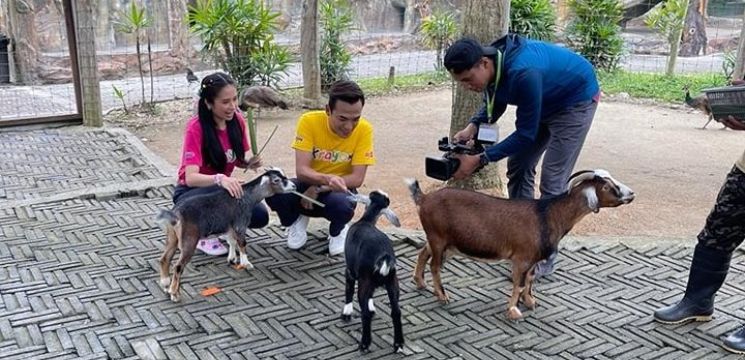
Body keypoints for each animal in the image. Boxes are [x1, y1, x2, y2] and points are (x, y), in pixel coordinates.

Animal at [155, 168, 294, 300]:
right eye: (277, 180)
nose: (293, 186)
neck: (247, 196)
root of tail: (176, 213)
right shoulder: (240, 223)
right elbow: (242, 243)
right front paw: (246, 263)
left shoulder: (230, 226)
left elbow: (231, 240)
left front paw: (232, 259)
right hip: (189, 238)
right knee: (178, 266)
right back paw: (174, 294)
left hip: (172, 236)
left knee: (164, 258)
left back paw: (165, 284)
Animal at [342, 191, 404, 352]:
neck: (366, 220)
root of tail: (383, 256)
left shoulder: (350, 271)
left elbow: (348, 290)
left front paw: (346, 313)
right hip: (392, 282)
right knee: (396, 312)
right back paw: (398, 343)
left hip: (364, 281)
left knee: (365, 314)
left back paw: (364, 344)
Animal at [406, 170, 632, 320]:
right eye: (607, 187)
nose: (631, 194)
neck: (549, 214)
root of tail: (423, 199)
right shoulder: (522, 258)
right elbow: (520, 283)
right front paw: (514, 311)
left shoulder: (532, 260)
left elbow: (530, 280)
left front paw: (530, 301)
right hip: (439, 238)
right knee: (435, 265)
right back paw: (442, 296)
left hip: (442, 241)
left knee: (423, 253)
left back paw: (420, 282)